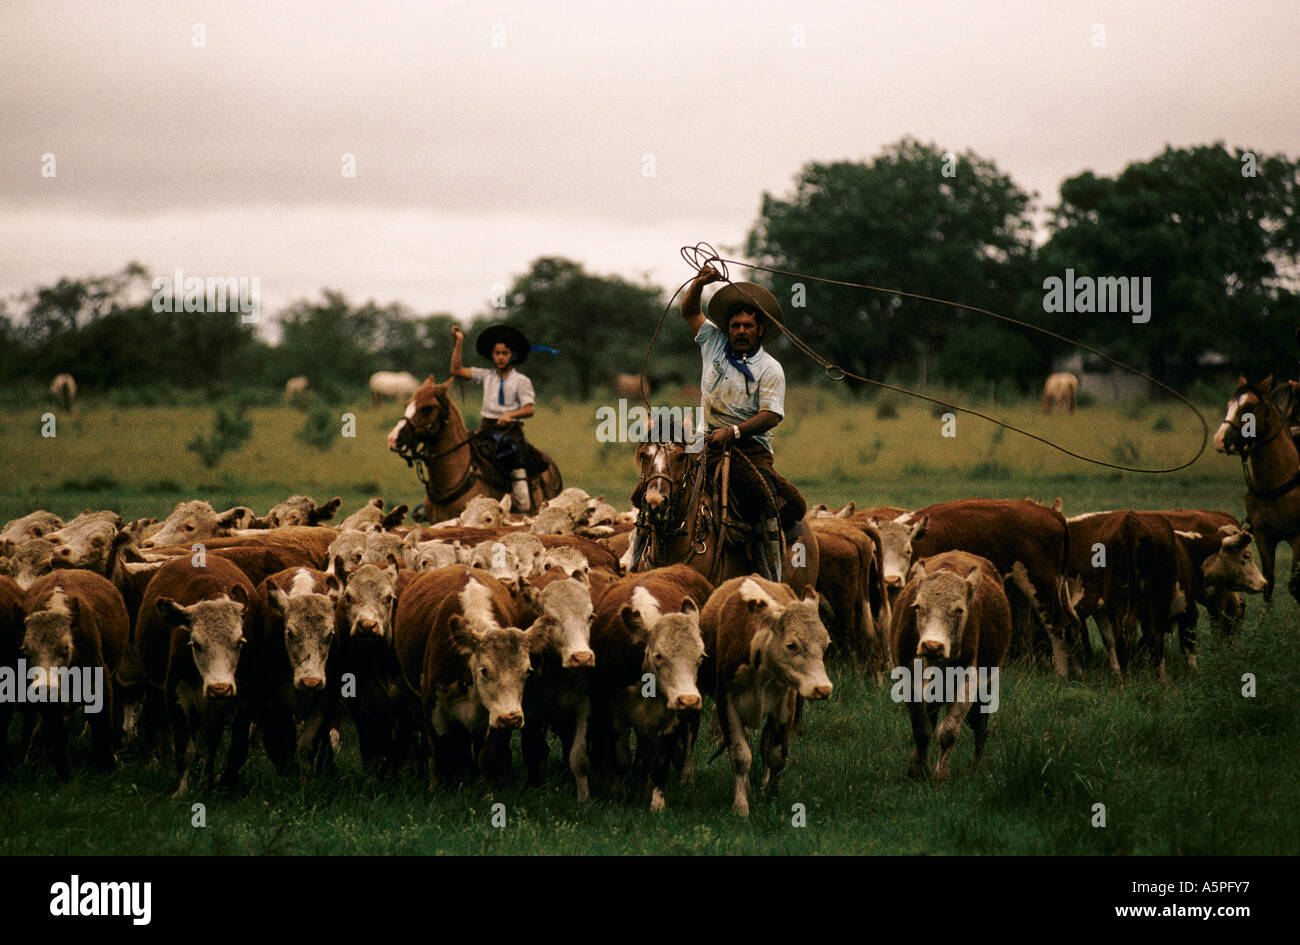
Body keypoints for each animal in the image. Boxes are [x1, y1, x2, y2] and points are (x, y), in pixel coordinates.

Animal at [702, 571, 832, 816]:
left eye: (826, 644)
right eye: (791, 645)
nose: (823, 689)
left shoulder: (785, 703)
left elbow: (776, 753)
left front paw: (773, 796)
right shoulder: (726, 701)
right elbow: (741, 754)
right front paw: (740, 805)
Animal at [889, 551, 1008, 779]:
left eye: (959, 610)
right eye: (918, 607)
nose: (932, 645)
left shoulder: (969, 680)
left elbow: (949, 730)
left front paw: (940, 774)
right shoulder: (908, 682)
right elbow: (922, 730)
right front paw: (920, 770)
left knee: (980, 723)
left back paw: (976, 763)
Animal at [1206, 374, 1300, 603]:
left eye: (1249, 407)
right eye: (1229, 405)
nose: (1219, 439)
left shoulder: (1297, 538)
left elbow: (1294, 586)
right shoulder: (1263, 535)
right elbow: (1268, 582)